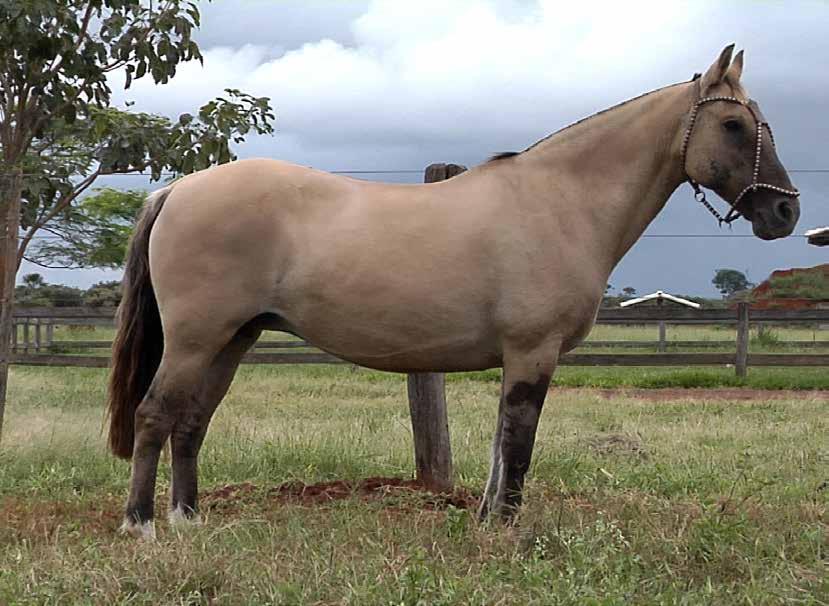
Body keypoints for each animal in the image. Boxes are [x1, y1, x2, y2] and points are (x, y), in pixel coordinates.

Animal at [106, 45, 800, 540]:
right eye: (734, 124)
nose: (785, 213)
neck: (561, 201)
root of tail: (178, 189)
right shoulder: (532, 352)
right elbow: (517, 442)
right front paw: (506, 532)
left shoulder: (520, 357)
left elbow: (500, 442)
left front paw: (488, 518)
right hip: (196, 340)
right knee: (155, 415)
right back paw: (142, 525)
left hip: (232, 340)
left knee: (192, 421)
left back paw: (188, 518)